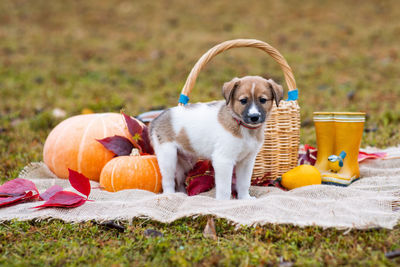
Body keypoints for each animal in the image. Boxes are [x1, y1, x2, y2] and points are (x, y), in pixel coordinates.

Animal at [148, 76, 282, 200]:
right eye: (243, 100)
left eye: (263, 100)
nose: (254, 117)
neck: (243, 128)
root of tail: (156, 119)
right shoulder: (223, 160)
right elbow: (225, 188)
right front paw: (223, 202)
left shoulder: (246, 161)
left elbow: (244, 183)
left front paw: (245, 198)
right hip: (168, 158)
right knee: (168, 180)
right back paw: (170, 195)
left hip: (185, 162)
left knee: (179, 181)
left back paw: (183, 194)